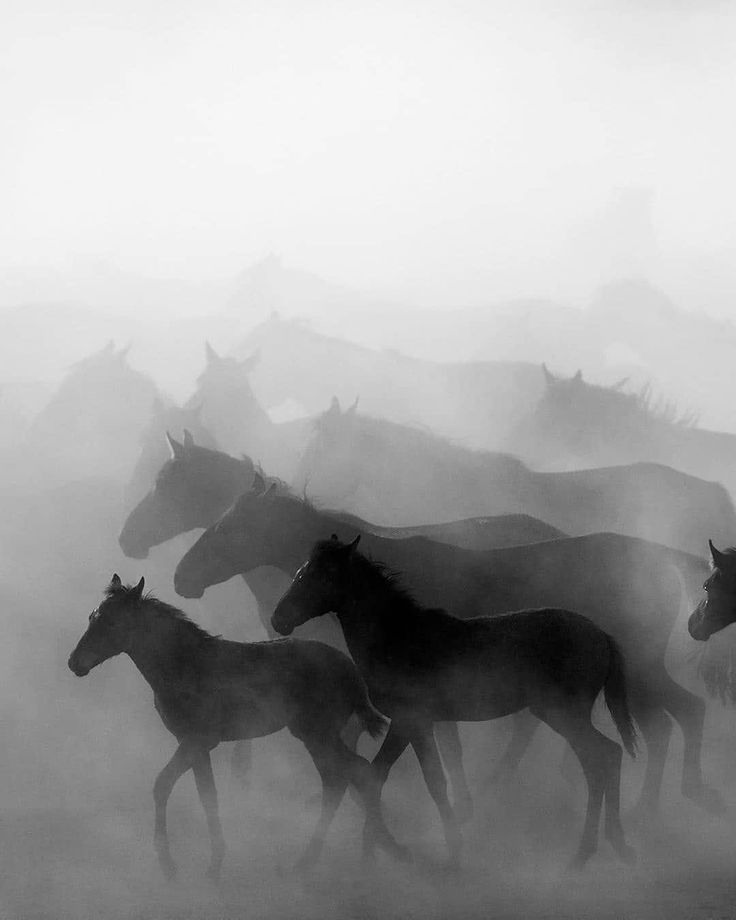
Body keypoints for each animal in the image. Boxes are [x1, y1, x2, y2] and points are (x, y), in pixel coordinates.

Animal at [66, 580, 406, 880]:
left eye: (112, 622)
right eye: (92, 617)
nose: (74, 663)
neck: (184, 663)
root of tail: (350, 670)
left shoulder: (197, 741)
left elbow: (166, 785)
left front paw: (172, 865)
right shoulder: (196, 746)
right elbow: (204, 794)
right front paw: (211, 863)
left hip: (317, 734)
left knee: (356, 774)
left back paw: (351, 859)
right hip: (315, 736)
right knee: (342, 780)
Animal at [172, 488, 720, 820]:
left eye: (229, 527)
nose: (181, 577)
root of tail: (664, 566)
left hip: (637, 670)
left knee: (672, 721)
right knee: (675, 719)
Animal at [270, 532, 640, 868]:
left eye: (323, 574)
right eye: (302, 570)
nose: (278, 619)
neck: (398, 637)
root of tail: (601, 636)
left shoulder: (409, 720)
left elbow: (399, 778)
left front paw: (388, 850)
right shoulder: (419, 724)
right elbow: (413, 777)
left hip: (563, 713)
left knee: (602, 758)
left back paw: (587, 851)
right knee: (604, 759)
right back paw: (611, 845)